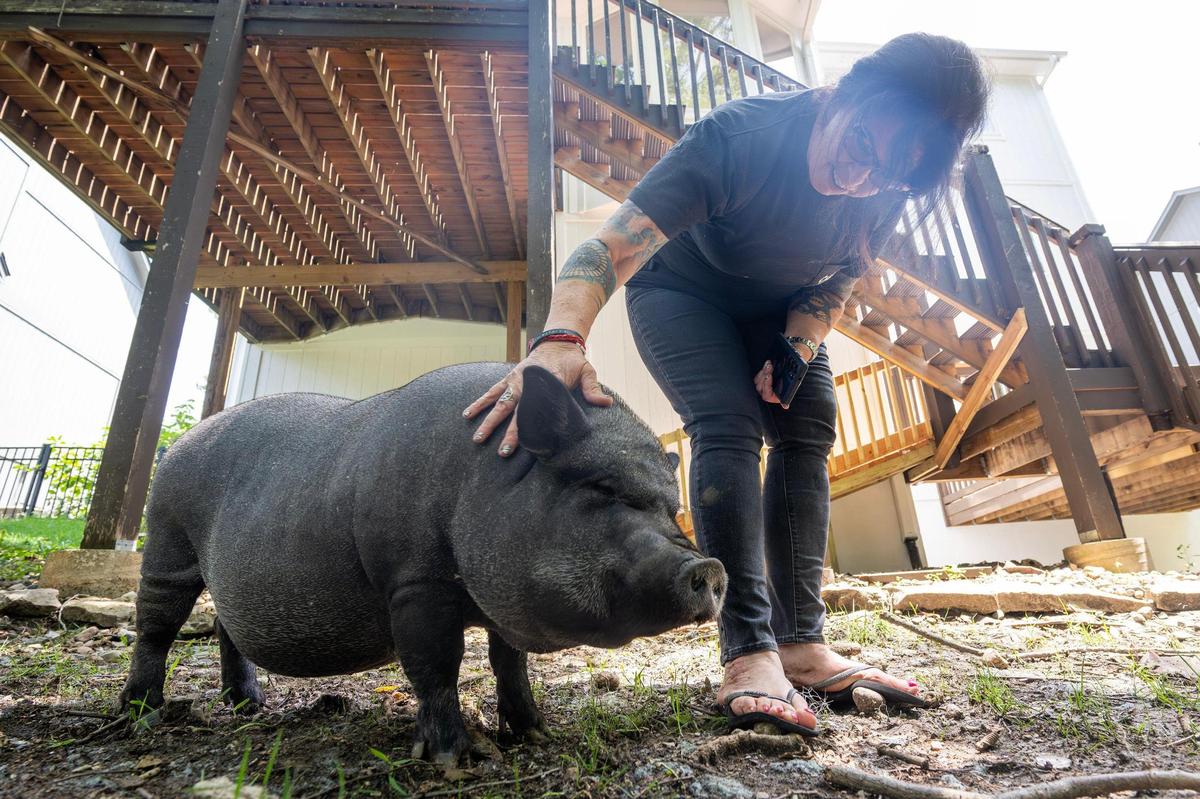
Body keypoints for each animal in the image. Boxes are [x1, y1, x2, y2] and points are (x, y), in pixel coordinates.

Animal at [119, 363, 726, 764]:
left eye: (670, 508)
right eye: (601, 488)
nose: (709, 567)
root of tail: (177, 444)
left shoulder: (498, 600)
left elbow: (510, 663)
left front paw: (536, 735)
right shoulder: (414, 581)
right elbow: (437, 664)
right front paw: (455, 759)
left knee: (224, 625)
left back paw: (248, 705)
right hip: (168, 541)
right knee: (156, 627)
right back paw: (140, 713)